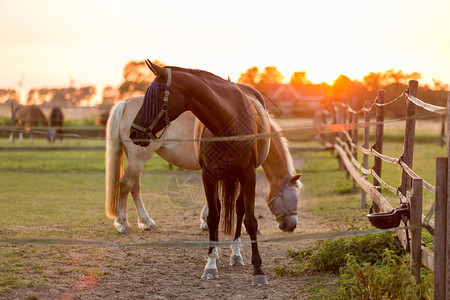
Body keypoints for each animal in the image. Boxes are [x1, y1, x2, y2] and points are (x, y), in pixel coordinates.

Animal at [106, 96, 302, 234]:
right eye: (290, 196)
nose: (292, 225)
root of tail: (126, 102)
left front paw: (205, 220)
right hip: (138, 159)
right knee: (125, 184)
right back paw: (123, 224)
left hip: (136, 159)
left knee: (135, 188)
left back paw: (146, 222)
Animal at [128, 61, 280, 286]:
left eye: (154, 96)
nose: (134, 132)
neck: (228, 122)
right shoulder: (208, 177)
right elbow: (213, 218)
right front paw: (210, 265)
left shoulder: (248, 175)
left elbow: (251, 221)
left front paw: (258, 271)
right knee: (220, 209)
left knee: (239, 210)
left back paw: (236, 254)